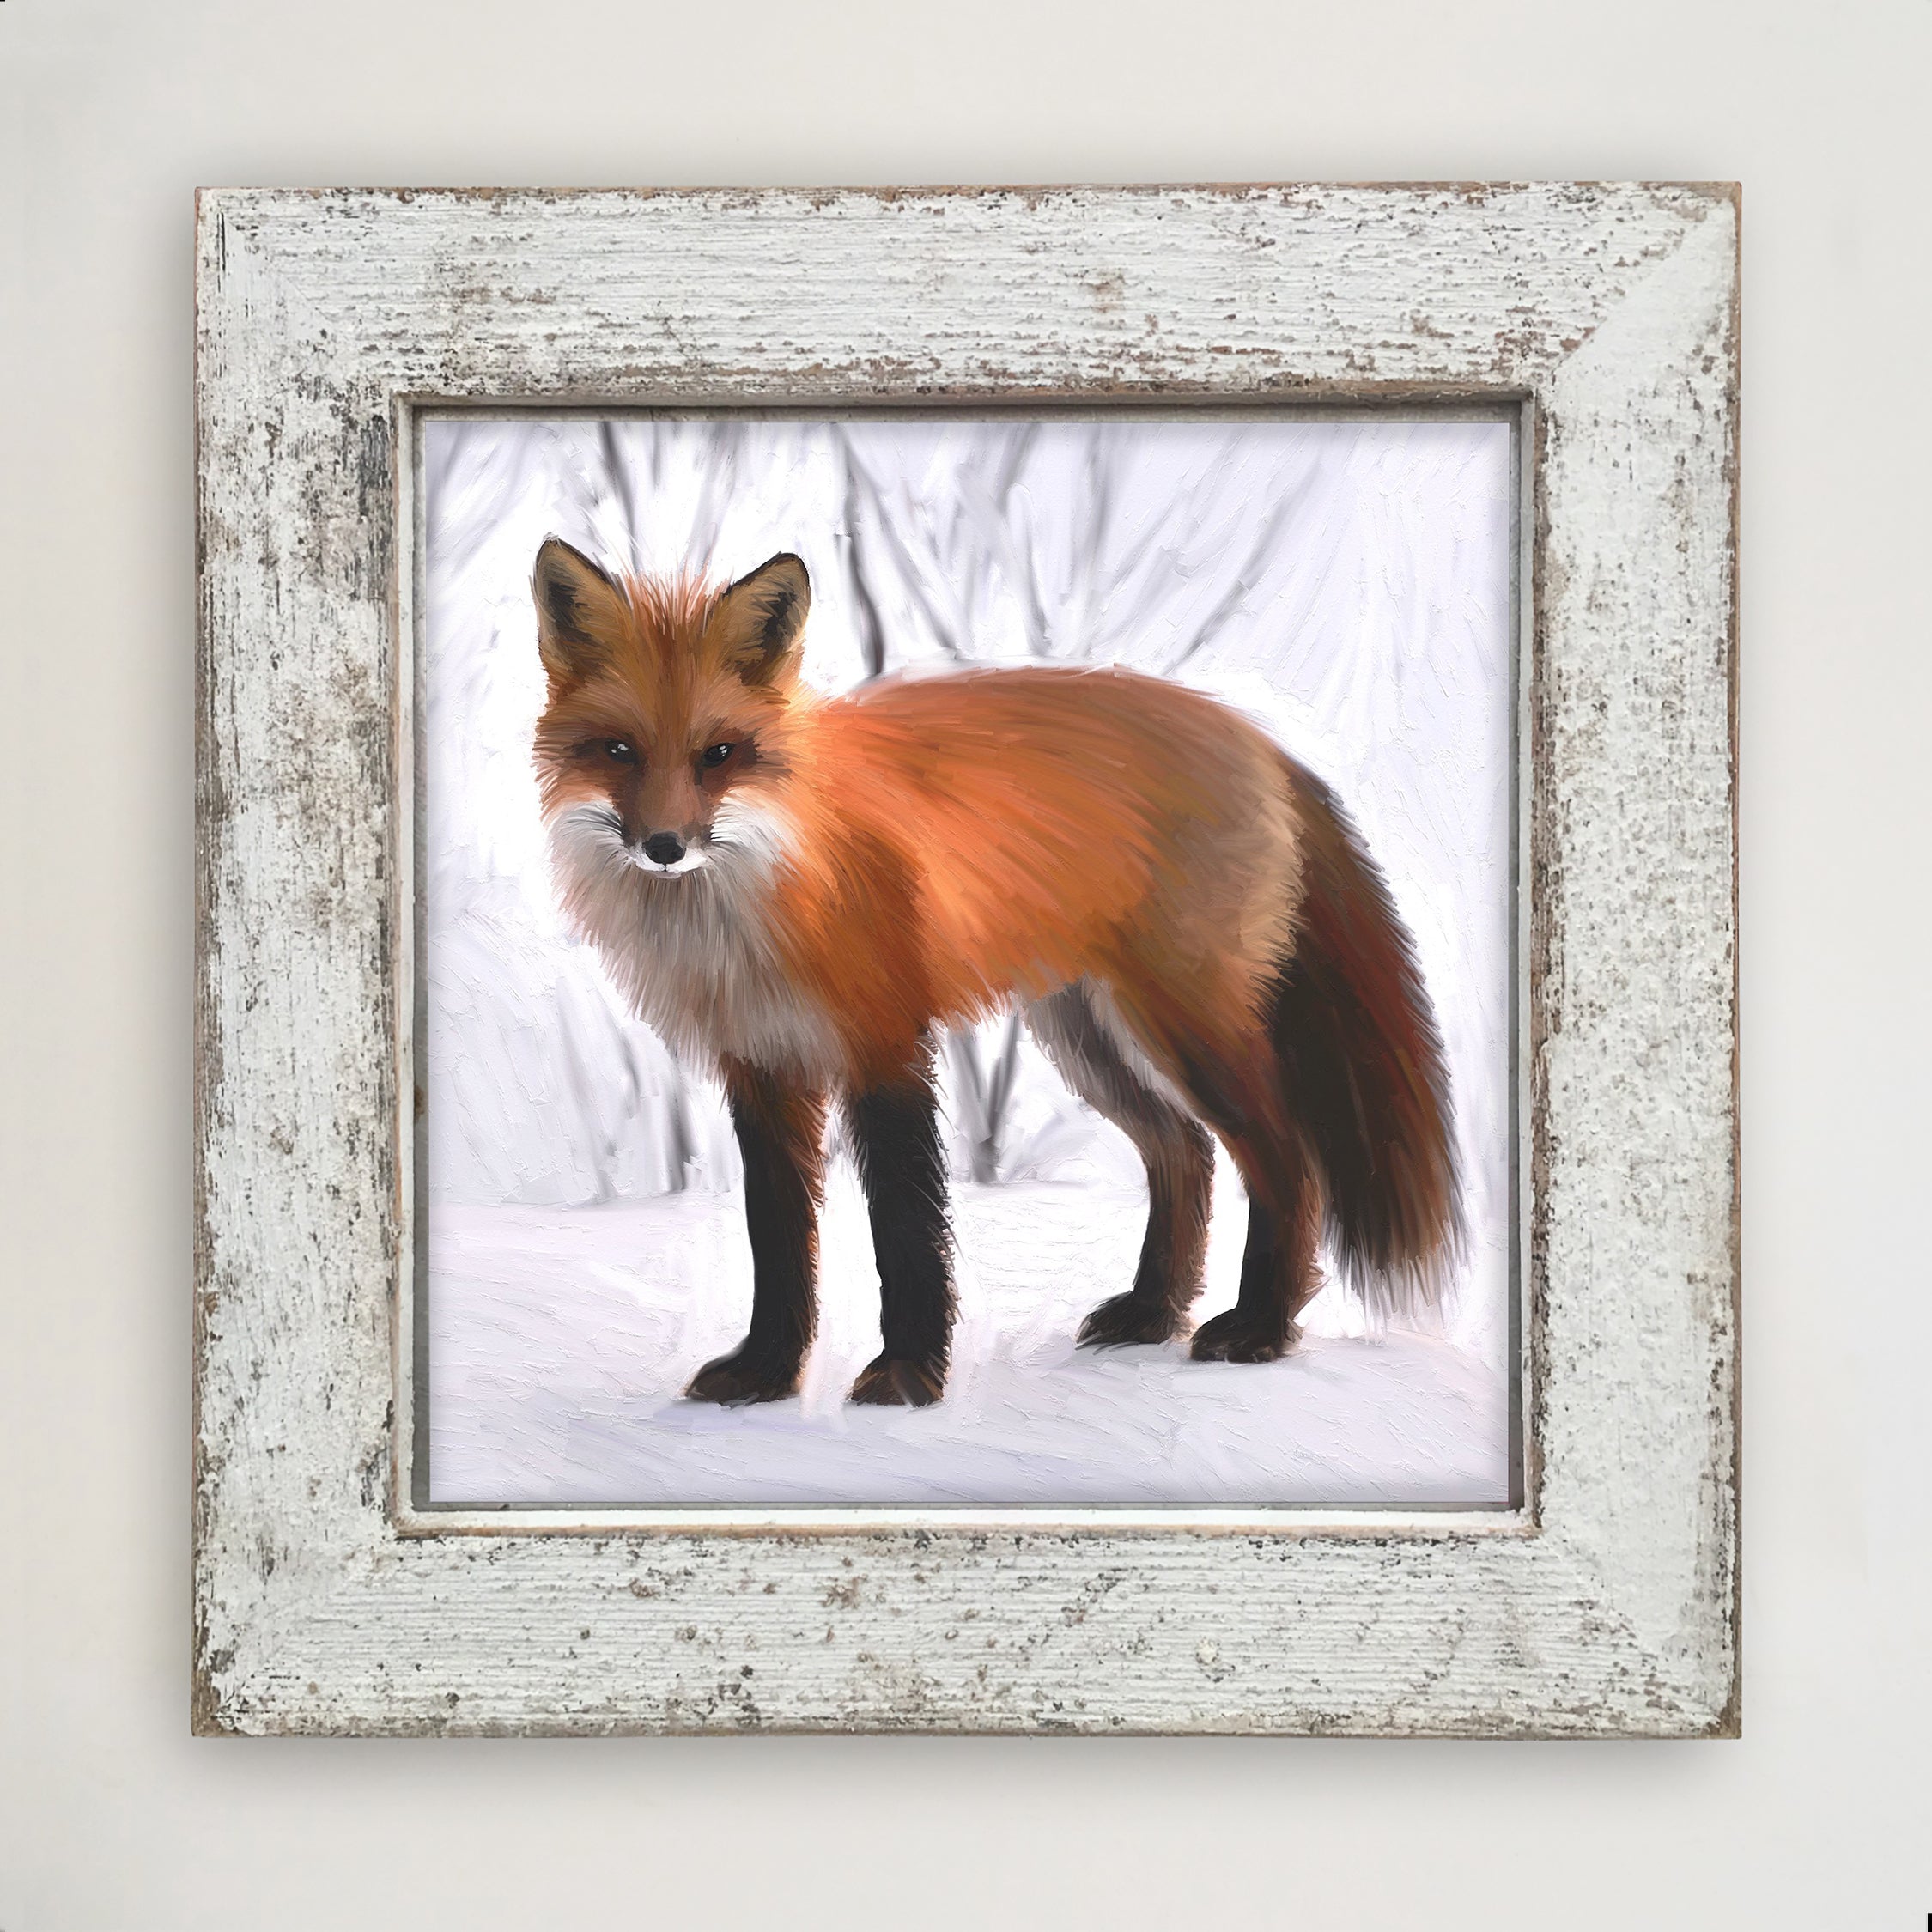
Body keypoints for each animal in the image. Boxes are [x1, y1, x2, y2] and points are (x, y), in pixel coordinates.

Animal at [531, 538, 1459, 1408]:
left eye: (719, 753)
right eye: (618, 750)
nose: (663, 847)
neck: (760, 899)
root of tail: (1256, 737)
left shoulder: (885, 1045)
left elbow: (905, 1228)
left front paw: (907, 1376)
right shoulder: (761, 1067)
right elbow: (780, 1239)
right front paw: (766, 1373)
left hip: (1189, 1029)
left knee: (1284, 1159)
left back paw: (1260, 1327)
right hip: (1087, 1038)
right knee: (1184, 1152)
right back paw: (1153, 1312)